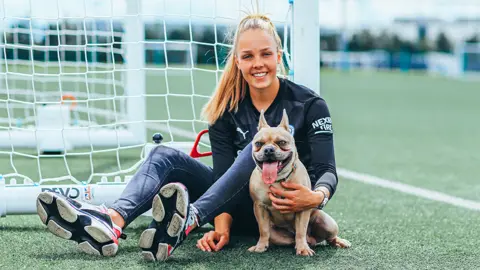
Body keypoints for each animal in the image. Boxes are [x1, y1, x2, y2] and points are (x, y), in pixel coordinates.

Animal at [248, 109, 348, 255]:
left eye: (282, 142)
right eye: (259, 144)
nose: (268, 150)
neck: (278, 179)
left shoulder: (302, 207)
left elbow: (301, 230)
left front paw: (303, 249)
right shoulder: (259, 207)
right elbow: (263, 230)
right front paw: (260, 246)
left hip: (327, 223)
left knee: (328, 237)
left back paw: (338, 242)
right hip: (277, 235)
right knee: (286, 238)